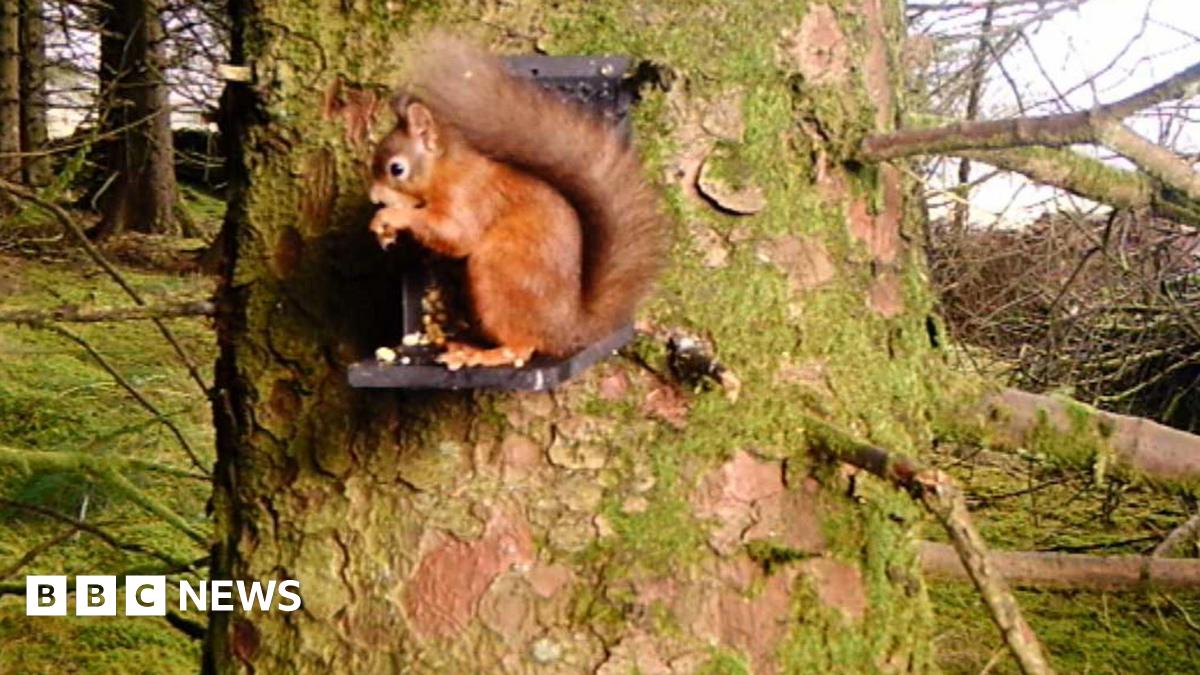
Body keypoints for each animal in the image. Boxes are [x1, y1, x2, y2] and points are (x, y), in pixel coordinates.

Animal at [364, 36, 667, 367]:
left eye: (396, 169)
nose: (373, 196)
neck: (446, 169)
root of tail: (566, 330)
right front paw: (386, 229)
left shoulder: (468, 196)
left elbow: (455, 234)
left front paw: (389, 217)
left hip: (499, 276)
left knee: (520, 348)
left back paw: (475, 354)